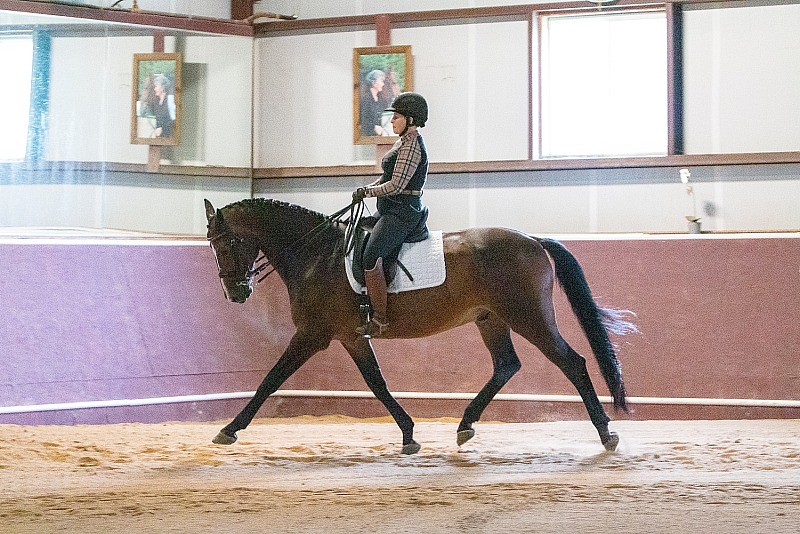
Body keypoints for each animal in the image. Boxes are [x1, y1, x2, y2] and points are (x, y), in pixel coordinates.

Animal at [203, 198, 636, 456]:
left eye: (224, 244)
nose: (236, 293)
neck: (315, 255)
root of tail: (531, 238)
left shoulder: (313, 334)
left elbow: (271, 379)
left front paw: (229, 429)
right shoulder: (350, 336)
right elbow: (376, 383)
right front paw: (409, 435)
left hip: (528, 316)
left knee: (573, 363)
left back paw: (605, 433)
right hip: (491, 319)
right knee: (506, 366)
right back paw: (465, 425)